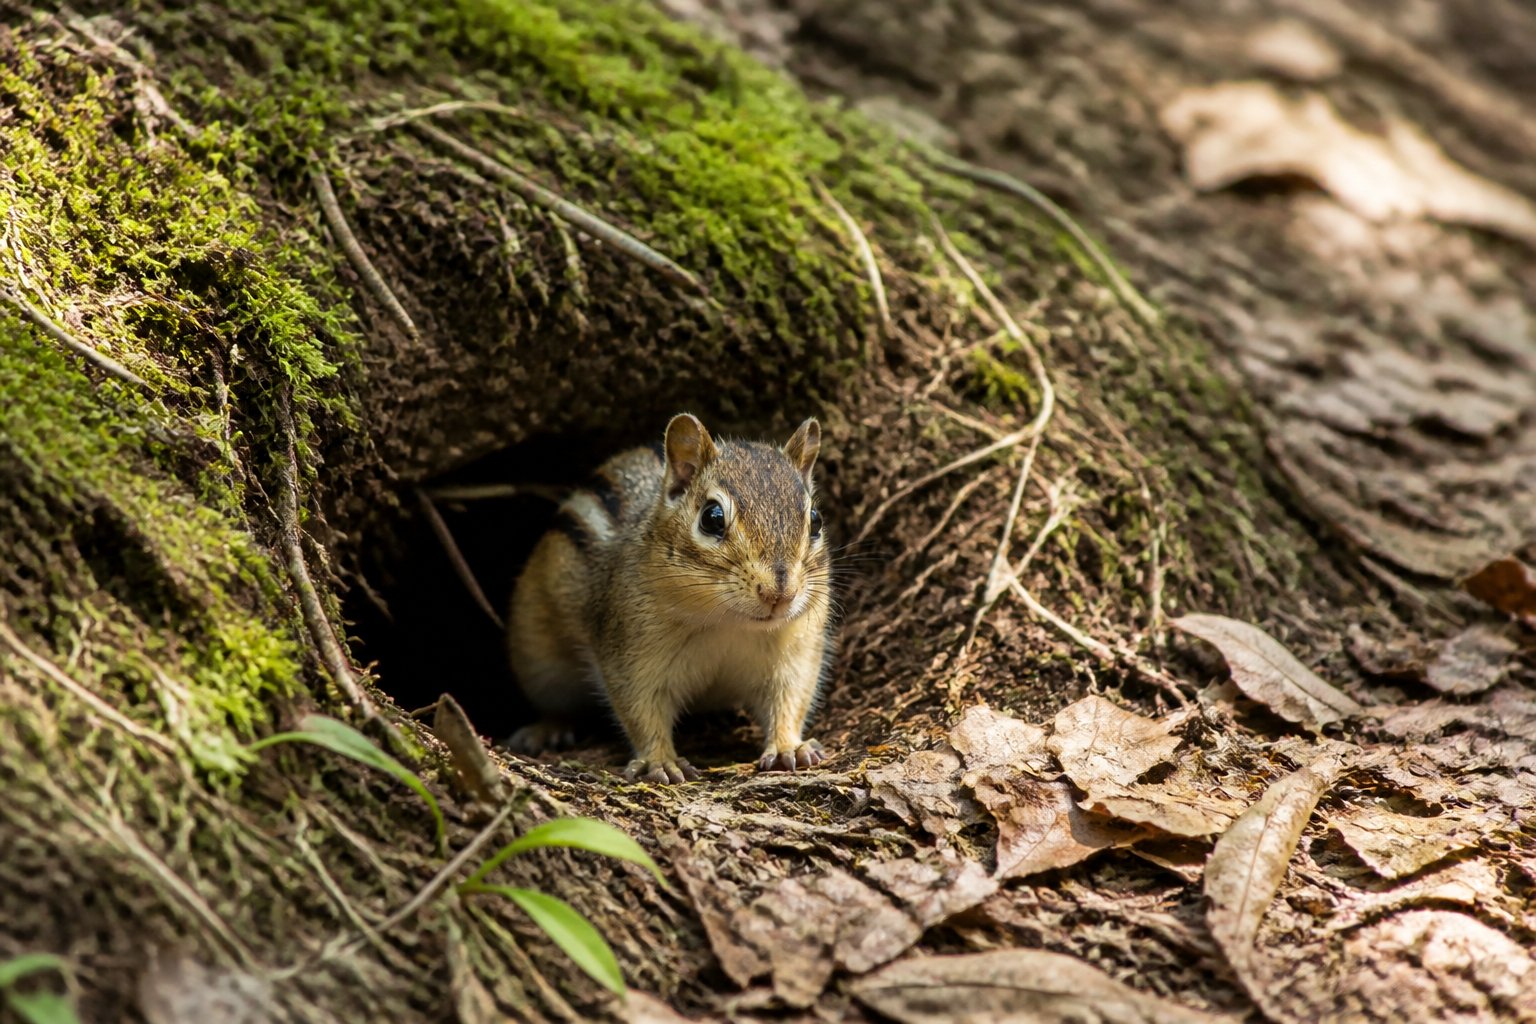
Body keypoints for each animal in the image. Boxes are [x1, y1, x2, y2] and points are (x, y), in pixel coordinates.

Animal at [505, 414, 835, 784]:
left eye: (816, 521)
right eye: (712, 518)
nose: (780, 593)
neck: (728, 622)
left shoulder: (795, 649)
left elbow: (790, 697)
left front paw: (788, 746)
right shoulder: (631, 653)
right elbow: (641, 708)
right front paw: (660, 760)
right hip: (540, 666)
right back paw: (547, 729)